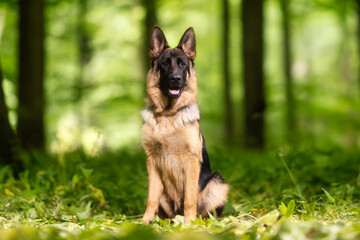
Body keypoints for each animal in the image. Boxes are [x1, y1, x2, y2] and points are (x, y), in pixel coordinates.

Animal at [141, 26, 228, 223]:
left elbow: (189, 197)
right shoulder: (152, 162)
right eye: (165, 64)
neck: (168, 115)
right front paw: (145, 221)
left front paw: (189, 224)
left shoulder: (191, 161)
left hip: (218, 183)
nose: (175, 79)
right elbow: (151, 197)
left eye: (182, 65)